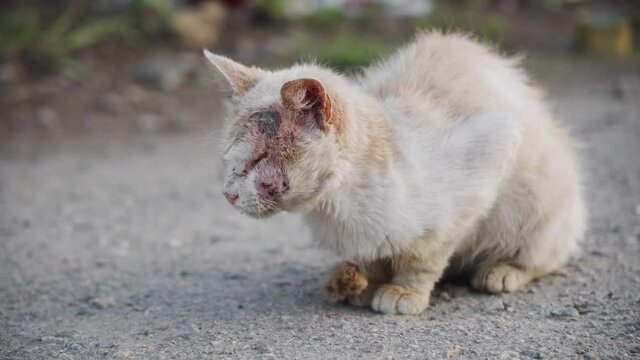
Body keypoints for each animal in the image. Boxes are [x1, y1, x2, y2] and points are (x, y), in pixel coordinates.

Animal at [204, 31, 584, 316]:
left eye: (259, 159)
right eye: (230, 160)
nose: (228, 193)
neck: (337, 208)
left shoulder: (489, 155)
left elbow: (425, 257)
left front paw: (403, 292)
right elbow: (370, 255)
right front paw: (365, 283)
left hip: (542, 205)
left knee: (546, 255)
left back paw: (501, 272)